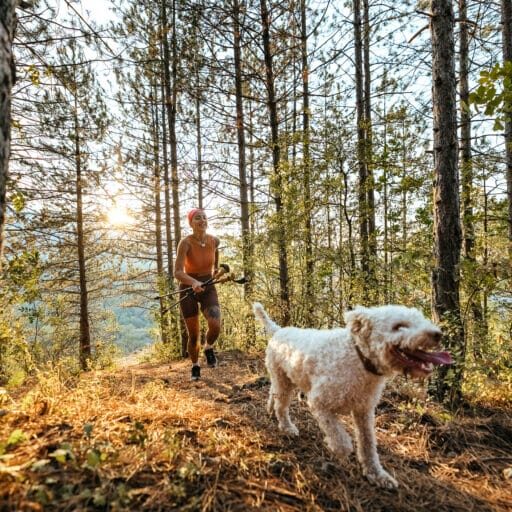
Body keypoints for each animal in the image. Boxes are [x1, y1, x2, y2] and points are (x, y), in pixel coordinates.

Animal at [253, 302, 452, 490]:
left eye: (422, 319)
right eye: (399, 326)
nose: (438, 334)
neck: (359, 358)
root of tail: (279, 330)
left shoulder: (364, 412)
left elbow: (368, 445)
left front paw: (377, 475)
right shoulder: (319, 403)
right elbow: (341, 440)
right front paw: (338, 449)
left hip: (285, 379)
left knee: (273, 393)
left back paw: (270, 409)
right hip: (284, 381)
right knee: (282, 406)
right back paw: (286, 426)